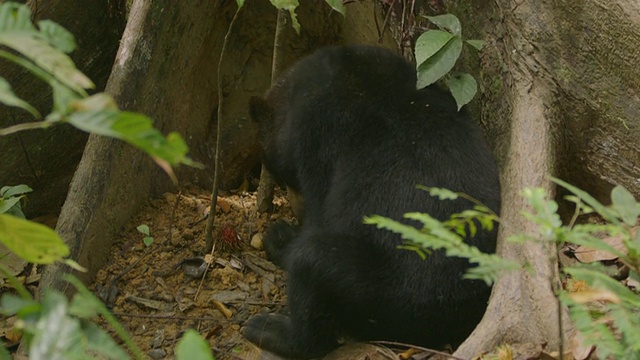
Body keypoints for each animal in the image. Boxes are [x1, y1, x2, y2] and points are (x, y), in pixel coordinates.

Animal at [242, 44, 502, 358]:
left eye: (284, 175)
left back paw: (270, 329)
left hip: (380, 289)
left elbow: (320, 212)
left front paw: (280, 235)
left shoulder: (318, 136)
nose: (293, 207)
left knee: (312, 261)